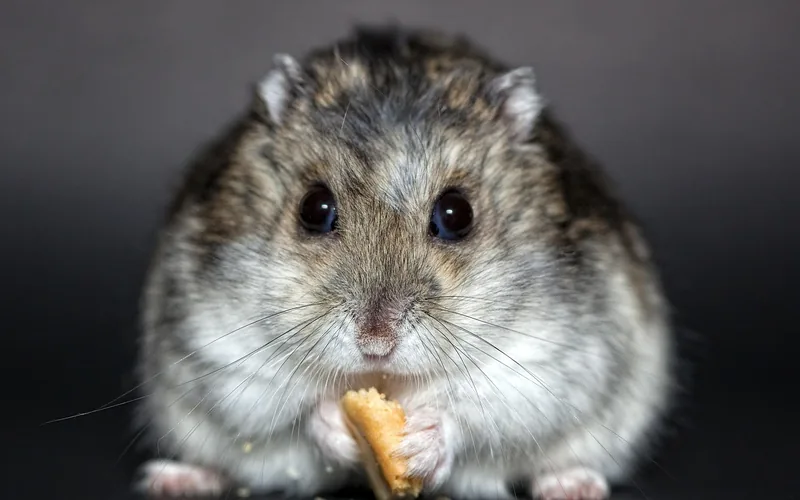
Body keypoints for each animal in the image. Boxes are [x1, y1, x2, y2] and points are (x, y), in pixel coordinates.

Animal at [135, 26, 674, 500]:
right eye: (314, 208)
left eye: (457, 214)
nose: (376, 344)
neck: (386, 381)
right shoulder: (220, 349)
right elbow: (290, 409)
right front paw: (336, 423)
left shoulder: (550, 359)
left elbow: (478, 410)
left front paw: (421, 442)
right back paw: (174, 478)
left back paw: (572, 485)